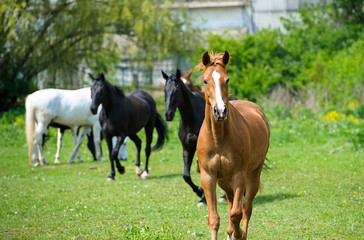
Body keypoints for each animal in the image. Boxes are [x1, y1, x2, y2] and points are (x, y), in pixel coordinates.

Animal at [163, 69, 213, 206]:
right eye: (165, 90)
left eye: (176, 90)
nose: (168, 114)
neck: (191, 118)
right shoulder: (187, 149)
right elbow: (186, 176)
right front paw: (200, 192)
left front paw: (204, 198)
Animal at [196, 51, 270, 240]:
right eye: (205, 81)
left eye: (227, 79)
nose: (220, 111)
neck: (218, 138)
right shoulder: (208, 177)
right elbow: (214, 218)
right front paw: (229, 232)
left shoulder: (239, 175)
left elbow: (237, 213)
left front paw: (238, 234)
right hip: (223, 180)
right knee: (230, 201)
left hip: (253, 175)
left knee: (246, 208)